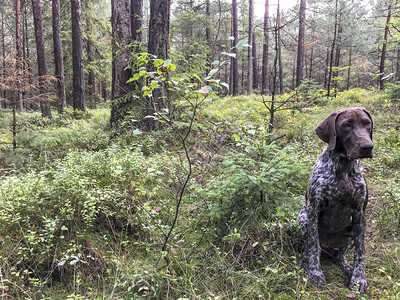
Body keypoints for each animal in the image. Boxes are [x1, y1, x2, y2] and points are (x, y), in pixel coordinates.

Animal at [300, 107, 376, 292]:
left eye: (367, 123)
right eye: (347, 125)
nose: (367, 147)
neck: (343, 166)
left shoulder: (359, 214)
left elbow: (360, 252)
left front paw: (358, 279)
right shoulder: (313, 209)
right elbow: (313, 246)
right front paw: (315, 273)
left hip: (350, 230)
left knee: (340, 256)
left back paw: (347, 268)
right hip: (303, 217)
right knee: (312, 247)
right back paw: (306, 262)